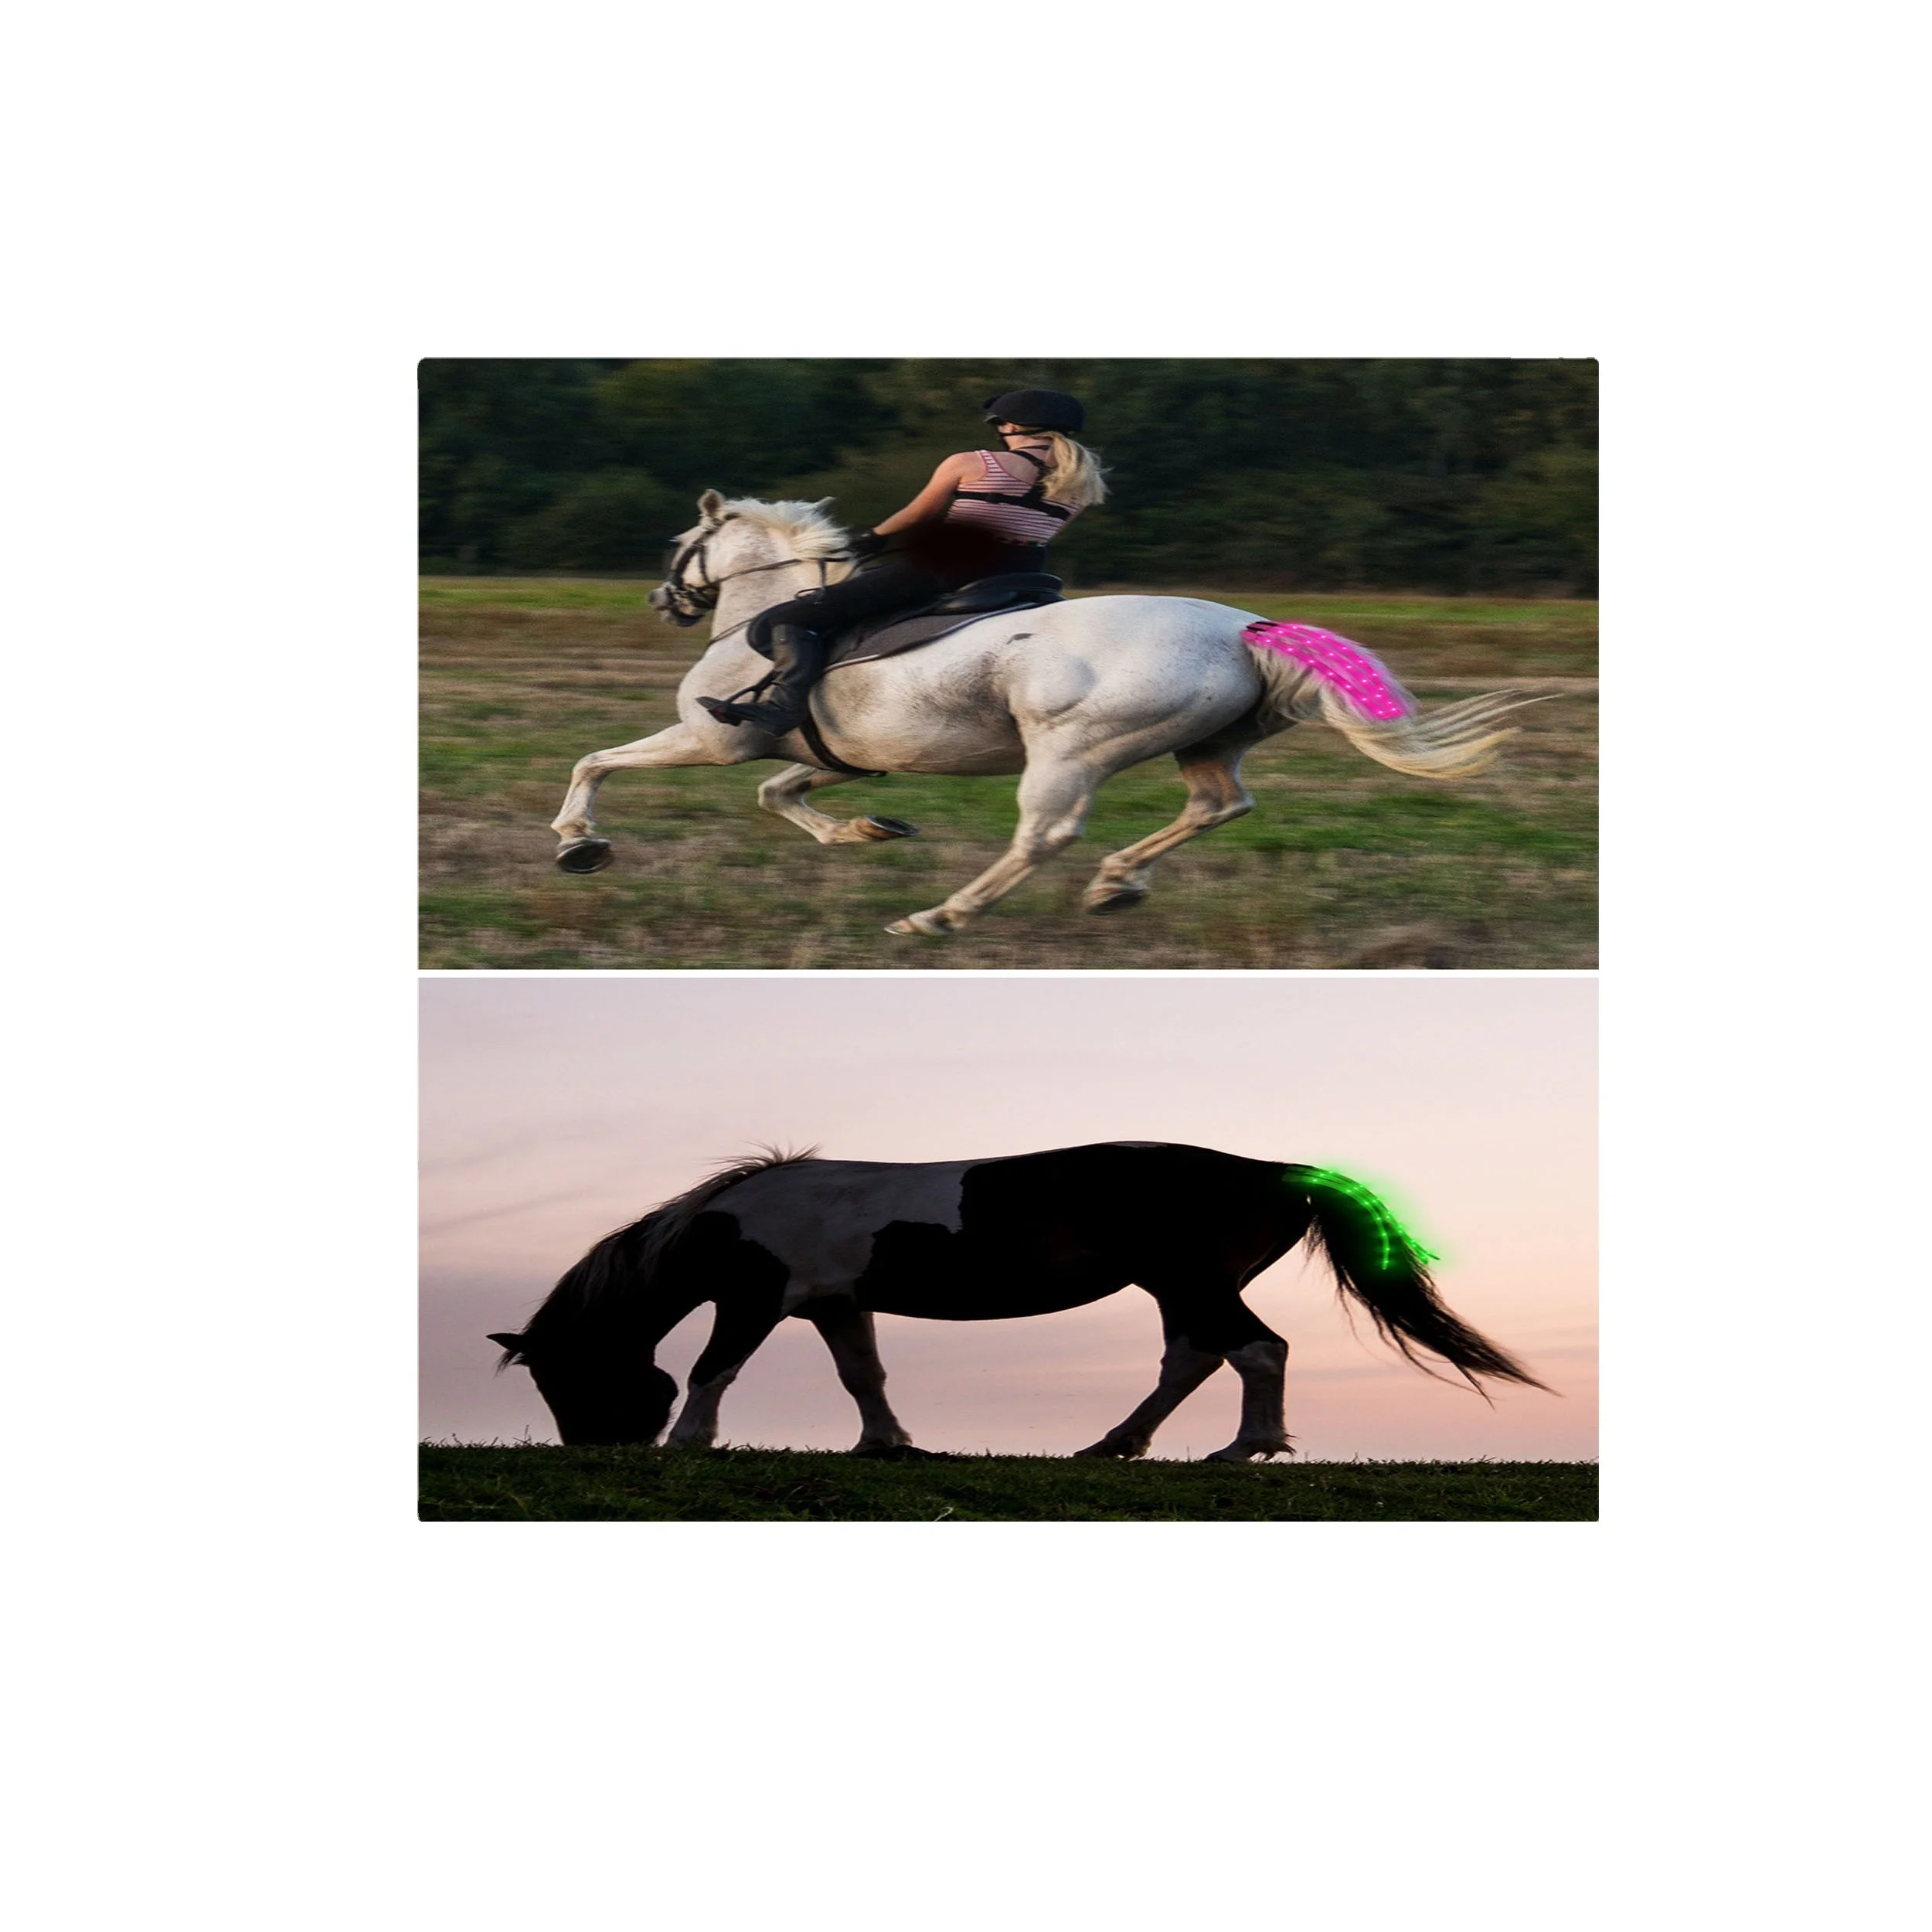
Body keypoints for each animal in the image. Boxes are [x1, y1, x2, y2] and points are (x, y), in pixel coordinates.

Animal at [487, 1142, 1549, 1461]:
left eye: (566, 1378)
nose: (594, 1449)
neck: (734, 1220)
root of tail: (1274, 1169)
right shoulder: (834, 1303)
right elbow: (863, 1375)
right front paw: (887, 1444)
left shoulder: (755, 1299)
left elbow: (714, 1368)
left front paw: (686, 1443)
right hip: (1179, 1289)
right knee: (1194, 1356)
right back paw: (1112, 1446)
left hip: (1189, 1280)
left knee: (1253, 1351)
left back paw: (1244, 1448)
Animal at [548, 492, 1552, 936]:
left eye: (684, 544)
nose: (661, 600)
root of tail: (1243, 626)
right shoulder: (835, 752)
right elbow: (783, 795)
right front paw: (867, 831)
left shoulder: (713, 739)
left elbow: (596, 762)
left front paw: (577, 844)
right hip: (1205, 746)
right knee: (1218, 805)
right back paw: (1117, 883)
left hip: (1072, 749)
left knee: (1045, 834)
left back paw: (942, 916)